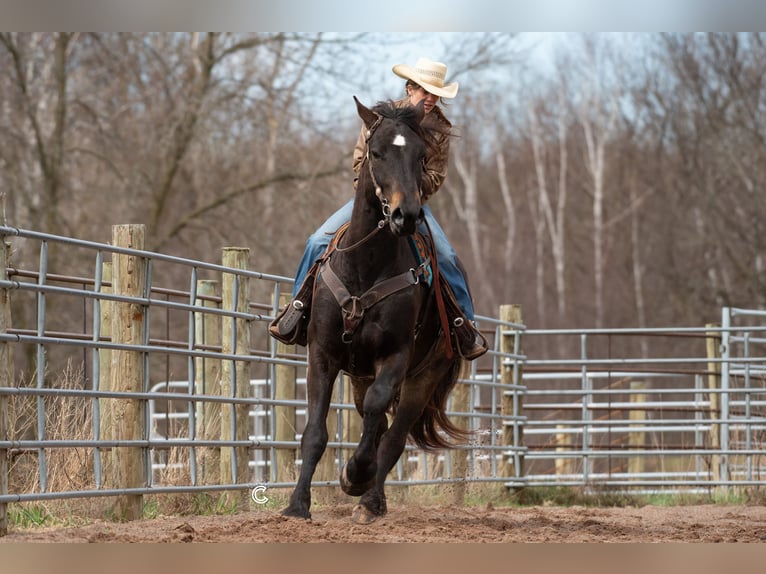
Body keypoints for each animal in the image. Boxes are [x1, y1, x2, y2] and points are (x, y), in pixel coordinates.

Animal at [284, 99, 468, 528]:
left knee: (393, 435)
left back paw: (370, 500)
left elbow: (378, 418)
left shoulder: (396, 355)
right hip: (358, 375)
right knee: (378, 423)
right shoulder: (323, 353)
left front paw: (356, 474)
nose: (406, 216)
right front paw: (297, 506)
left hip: (422, 377)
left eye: (421, 157)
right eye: (377, 152)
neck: (366, 266)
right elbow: (315, 432)